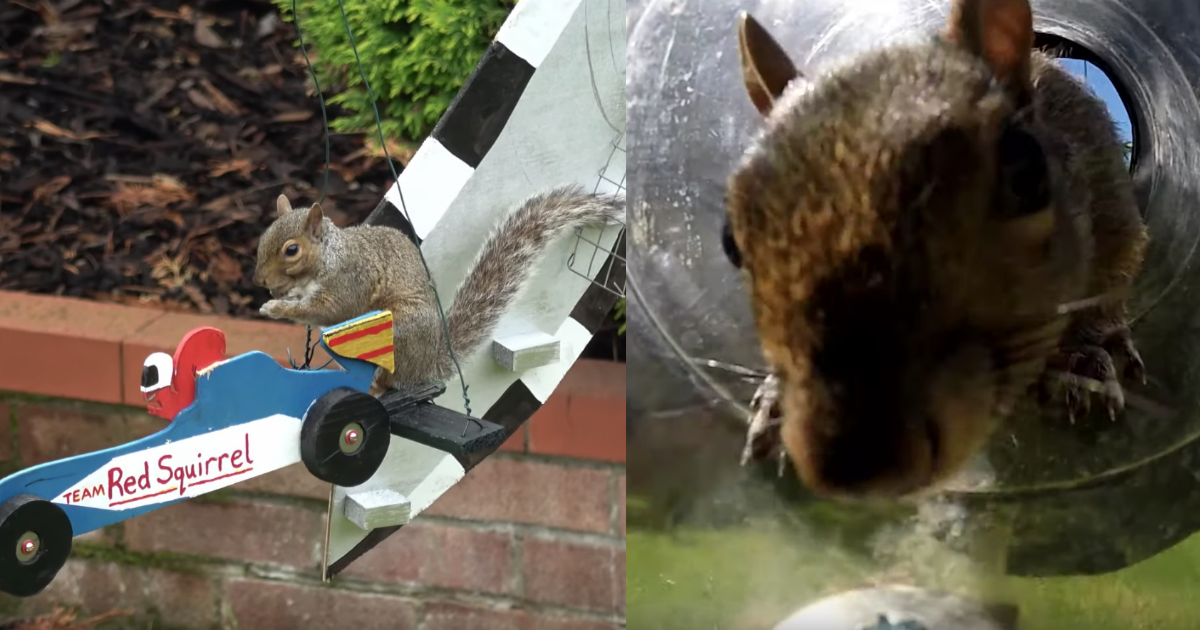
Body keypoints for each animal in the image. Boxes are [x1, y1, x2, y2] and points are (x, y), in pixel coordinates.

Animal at [252, 184, 625, 395]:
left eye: (291, 250)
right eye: (263, 236)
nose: (261, 281)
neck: (329, 257)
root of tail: (428, 363)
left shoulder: (350, 280)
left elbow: (327, 309)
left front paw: (277, 308)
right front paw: (280, 299)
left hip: (398, 331)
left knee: (389, 380)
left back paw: (375, 386)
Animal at [721, 0, 1149, 498]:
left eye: (1026, 173)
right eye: (730, 241)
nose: (854, 463)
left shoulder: (1113, 207)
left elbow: (1109, 288)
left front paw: (1083, 359)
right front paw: (773, 404)